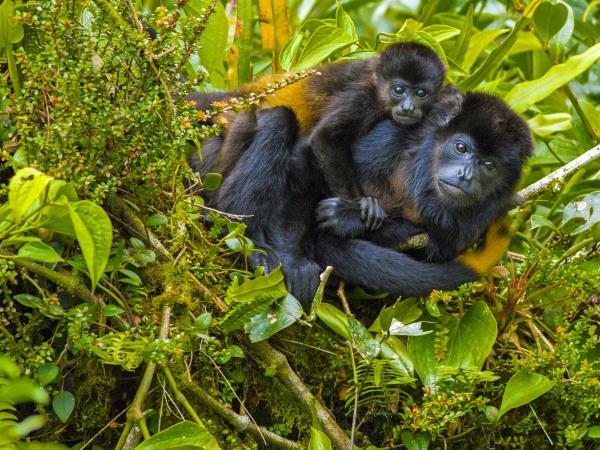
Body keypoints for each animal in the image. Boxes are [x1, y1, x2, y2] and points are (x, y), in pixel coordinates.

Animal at [190, 43, 458, 229]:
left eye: (421, 93)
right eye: (399, 90)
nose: (409, 108)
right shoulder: (363, 97)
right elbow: (326, 137)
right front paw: (361, 205)